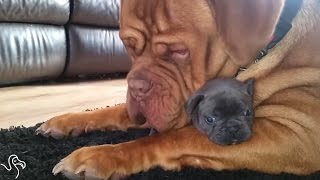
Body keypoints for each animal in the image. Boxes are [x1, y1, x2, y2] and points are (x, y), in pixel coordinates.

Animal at [36, 0, 320, 179]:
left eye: (179, 51)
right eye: (128, 45)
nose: (136, 86)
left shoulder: (297, 134)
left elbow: (173, 138)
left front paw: (102, 156)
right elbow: (113, 111)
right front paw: (67, 121)